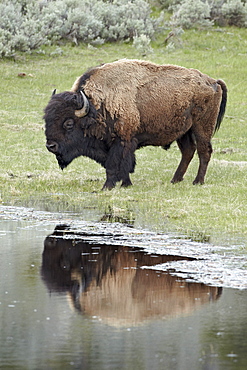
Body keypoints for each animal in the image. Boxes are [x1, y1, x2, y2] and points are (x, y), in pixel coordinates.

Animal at [43, 59, 227, 191]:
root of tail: (213, 81)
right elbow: (124, 165)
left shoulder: (122, 141)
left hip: (201, 127)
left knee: (204, 151)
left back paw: (198, 181)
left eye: (68, 123)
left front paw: (107, 187)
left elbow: (114, 165)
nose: (50, 146)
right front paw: (126, 184)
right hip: (183, 131)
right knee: (188, 151)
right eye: (47, 119)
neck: (95, 106)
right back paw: (175, 180)